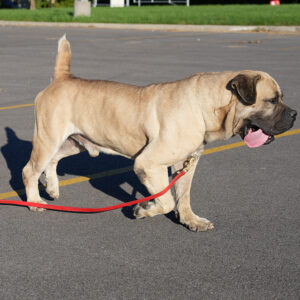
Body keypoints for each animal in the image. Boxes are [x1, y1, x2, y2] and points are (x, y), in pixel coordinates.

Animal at [22, 35, 296, 232]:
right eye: (272, 100)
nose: (294, 115)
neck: (204, 105)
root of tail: (62, 78)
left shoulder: (186, 164)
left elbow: (183, 196)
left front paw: (190, 220)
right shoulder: (149, 164)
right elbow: (166, 201)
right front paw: (144, 210)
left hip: (75, 142)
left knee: (53, 161)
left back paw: (52, 188)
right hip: (48, 137)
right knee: (30, 170)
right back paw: (35, 202)